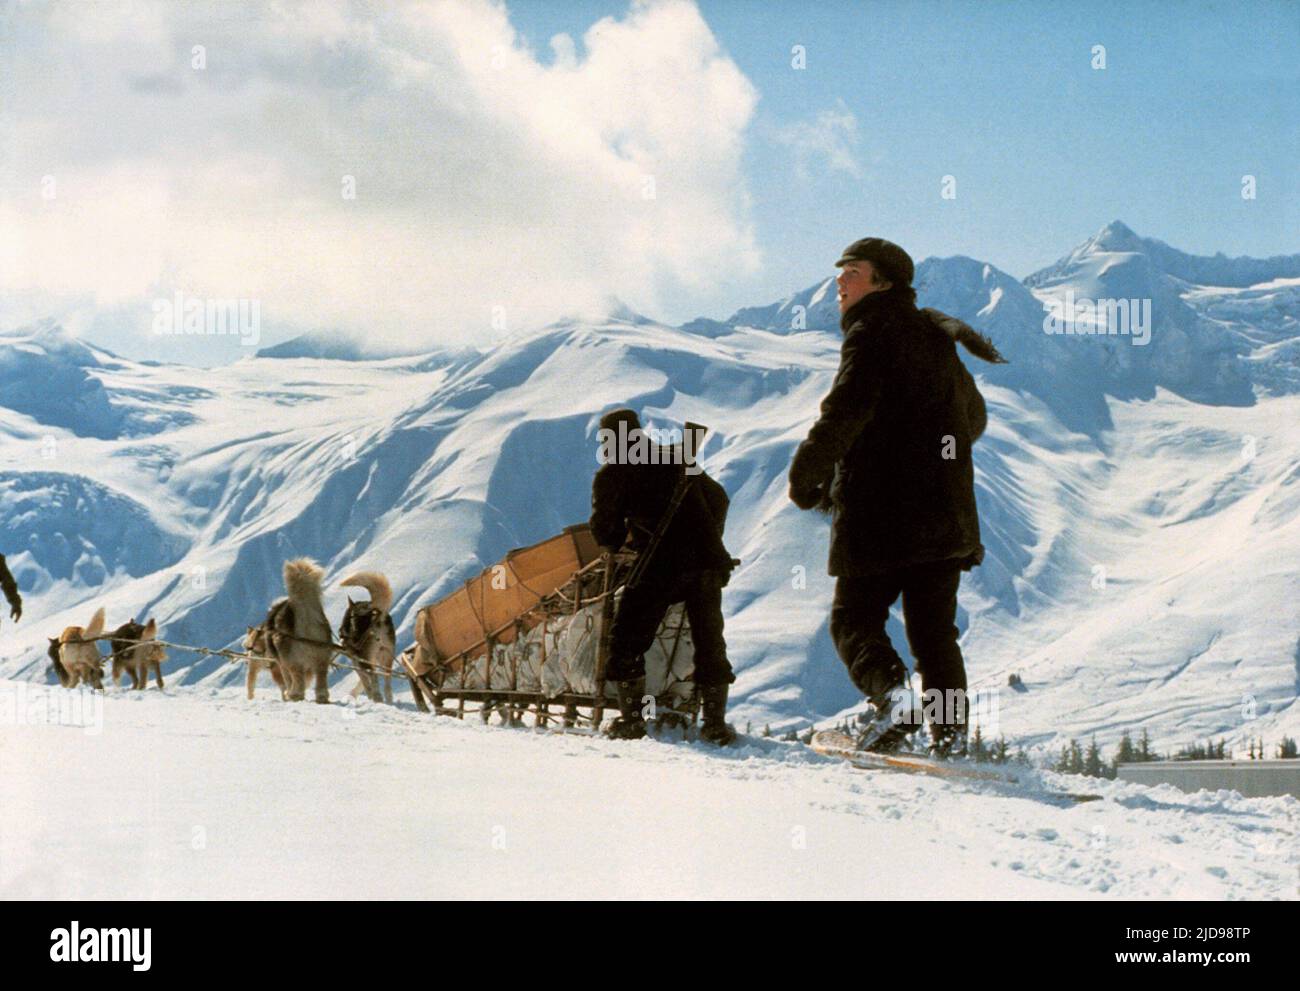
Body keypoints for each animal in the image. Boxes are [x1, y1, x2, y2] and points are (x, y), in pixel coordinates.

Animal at [270, 556, 335, 702]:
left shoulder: (282, 662)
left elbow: (287, 678)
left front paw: (288, 694)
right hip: (322, 658)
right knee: (321, 677)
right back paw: (322, 697)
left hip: (292, 660)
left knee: (296, 677)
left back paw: (295, 695)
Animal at [338, 572, 392, 702]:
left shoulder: (356, 662)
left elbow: (366, 684)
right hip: (386, 658)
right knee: (387, 682)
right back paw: (388, 700)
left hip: (365, 661)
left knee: (373, 676)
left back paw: (377, 698)